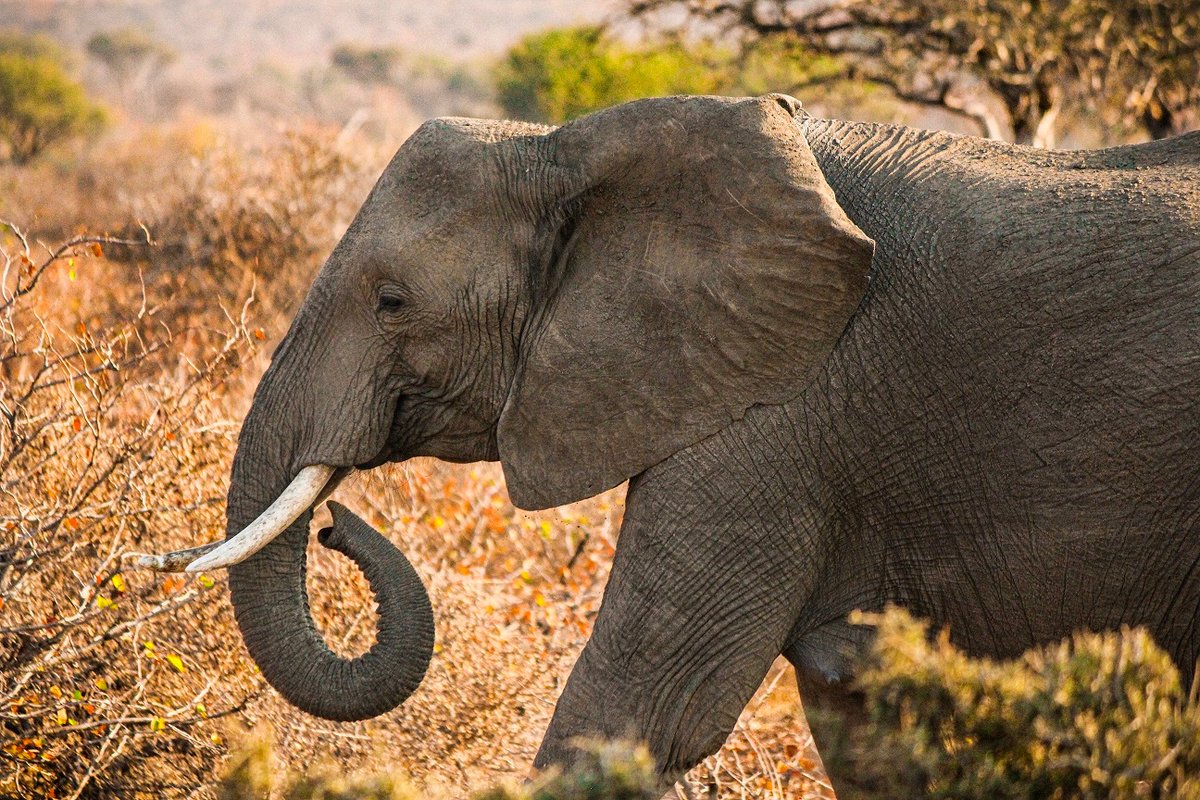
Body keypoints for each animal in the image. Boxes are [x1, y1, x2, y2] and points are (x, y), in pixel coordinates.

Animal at [129, 94, 1200, 795]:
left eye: (393, 302)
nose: (334, 527)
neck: (572, 149)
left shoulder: (781, 409)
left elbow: (644, 704)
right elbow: (868, 731)